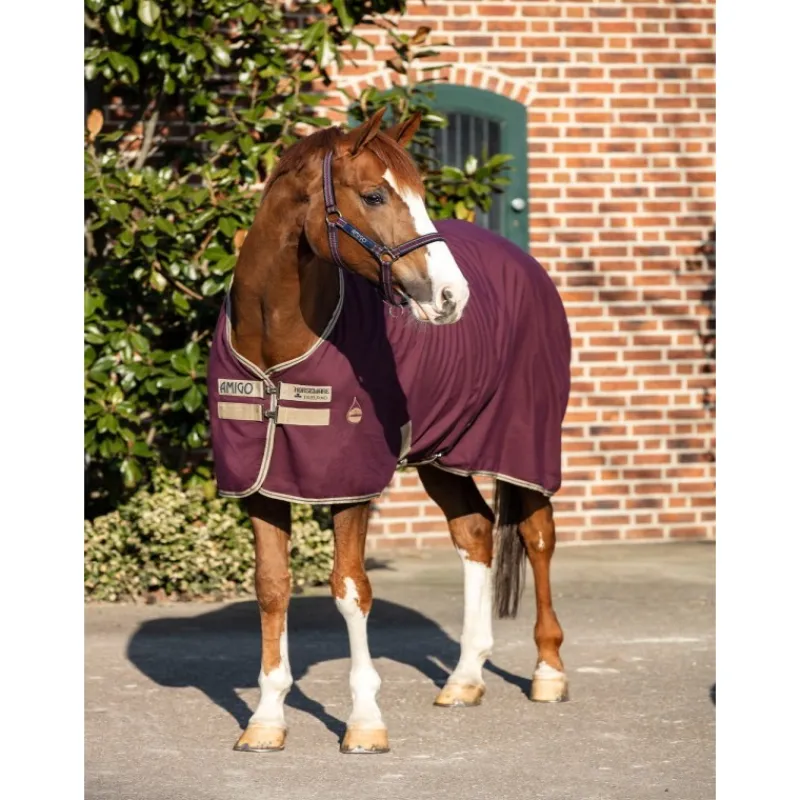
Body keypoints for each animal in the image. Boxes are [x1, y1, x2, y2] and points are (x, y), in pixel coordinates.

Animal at [206, 107, 572, 754]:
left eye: (422, 193)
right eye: (375, 195)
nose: (452, 296)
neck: (276, 346)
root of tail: (527, 266)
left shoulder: (349, 485)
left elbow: (352, 589)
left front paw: (365, 722)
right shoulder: (259, 485)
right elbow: (272, 588)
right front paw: (266, 719)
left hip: (524, 445)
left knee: (537, 536)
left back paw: (548, 673)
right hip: (442, 454)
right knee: (475, 533)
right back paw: (465, 679)